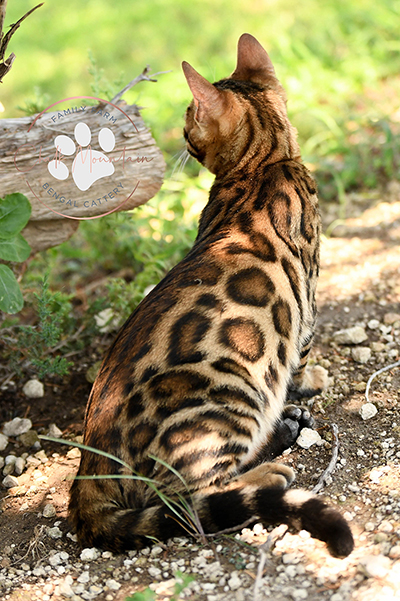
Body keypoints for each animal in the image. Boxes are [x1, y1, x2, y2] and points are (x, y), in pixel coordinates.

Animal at [69, 32, 354, 556]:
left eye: (187, 114)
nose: (180, 131)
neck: (266, 163)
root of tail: (87, 474)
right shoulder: (306, 300)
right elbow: (301, 356)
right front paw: (311, 380)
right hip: (228, 396)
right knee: (189, 501)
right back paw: (271, 469)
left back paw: (286, 432)